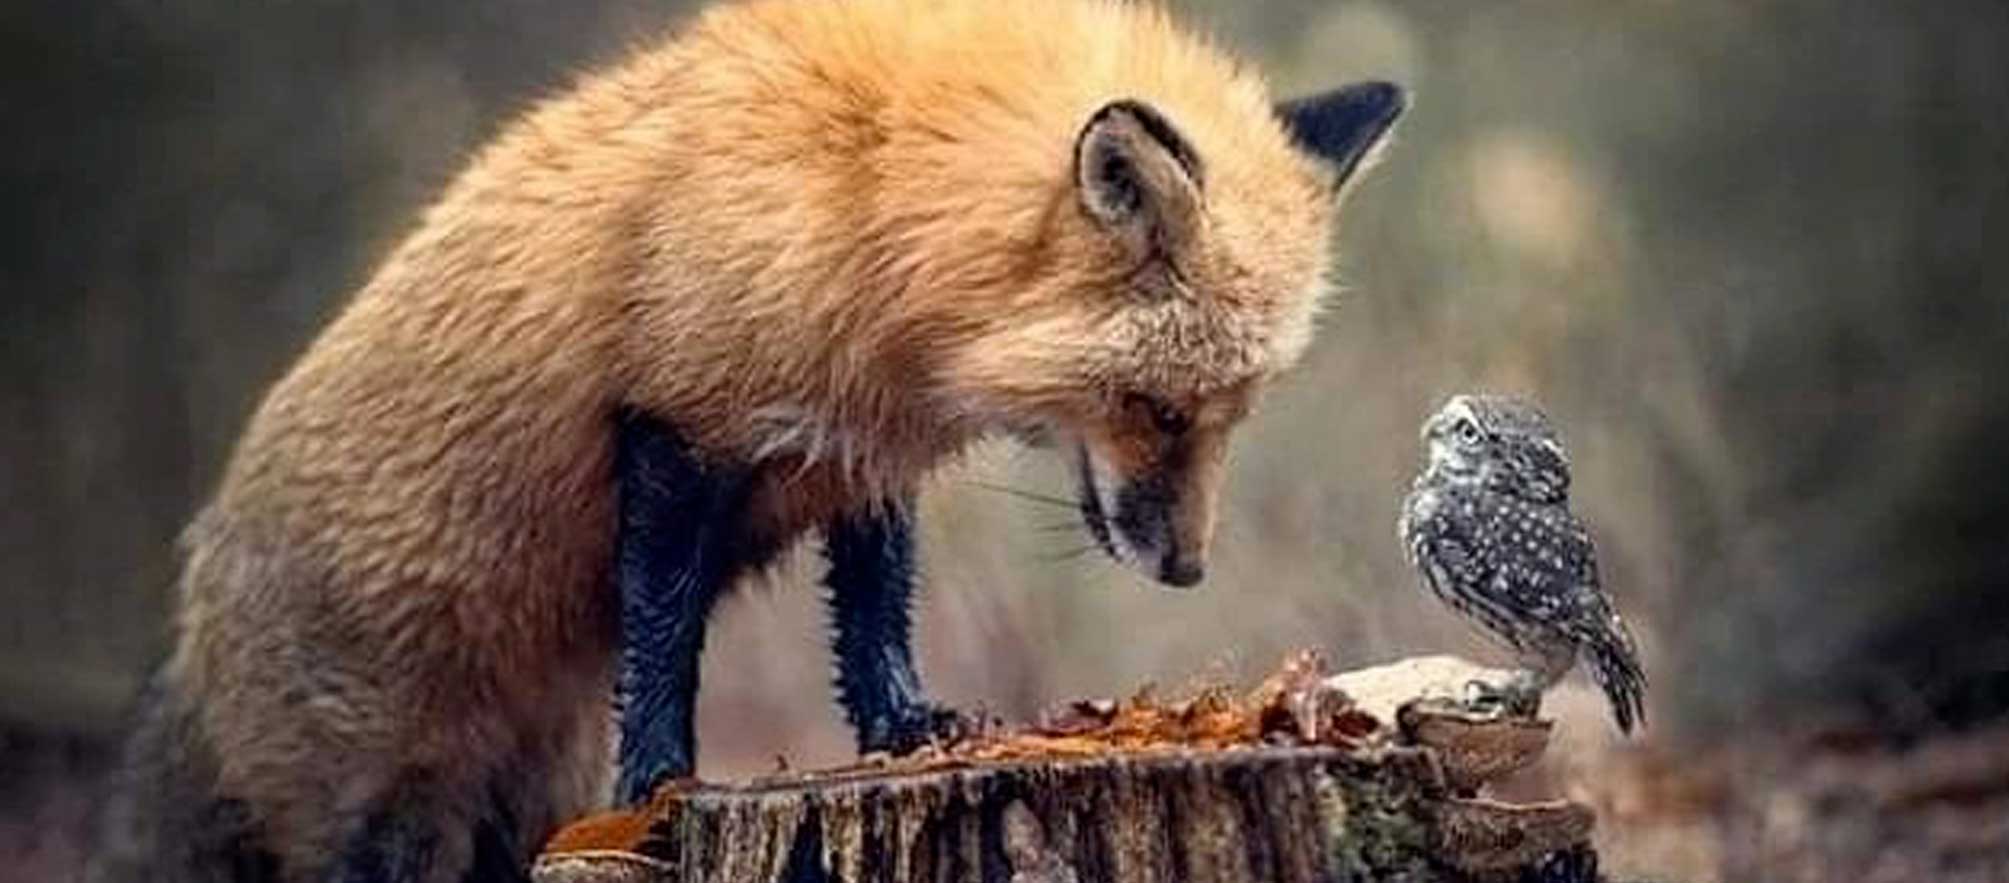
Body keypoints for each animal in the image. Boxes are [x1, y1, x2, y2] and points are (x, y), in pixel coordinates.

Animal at [88, 0, 1406, 880]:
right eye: (1160, 408)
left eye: (1234, 412)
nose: (1185, 570)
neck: (868, 210)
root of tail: (186, 631)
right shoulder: (679, 424)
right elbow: (664, 640)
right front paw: (658, 786)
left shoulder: (860, 448)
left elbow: (874, 613)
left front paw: (902, 731)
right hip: (385, 823)